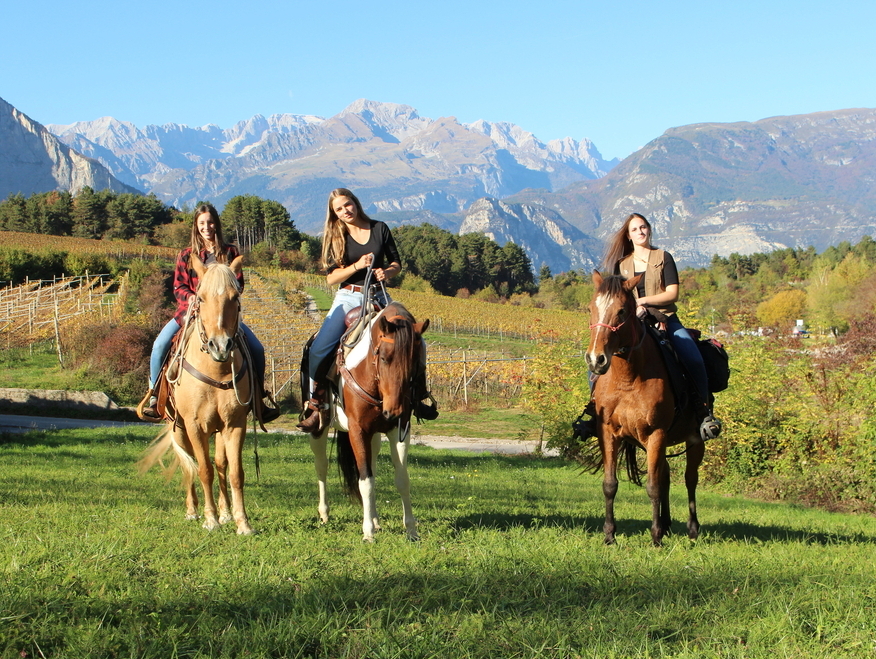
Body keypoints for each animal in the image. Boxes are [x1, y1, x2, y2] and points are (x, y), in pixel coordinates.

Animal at [137, 256, 253, 536]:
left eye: (235, 296)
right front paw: (210, 520)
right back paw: (192, 511)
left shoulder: (234, 425)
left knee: (220, 464)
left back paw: (225, 513)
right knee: (187, 463)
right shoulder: (194, 425)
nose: (220, 346)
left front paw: (241, 522)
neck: (215, 370)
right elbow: (203, 470)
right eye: (199, 298)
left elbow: (234, 472)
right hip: (178, 427)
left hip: (218, 430)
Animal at [310, 302, 430, 544]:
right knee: (322, 466)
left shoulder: (399, 430)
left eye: (415, 362)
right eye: (384, 357)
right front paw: (367, 533)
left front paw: (411, 530)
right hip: (319, 429)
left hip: (374, 435)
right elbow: (365, 481)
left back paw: (375, 519)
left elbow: (402, 479)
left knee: (372, 464)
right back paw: (325, 514)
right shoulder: (357, 430)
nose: (393, 411)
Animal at [580, 272, 704, 548]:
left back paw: (691, 529)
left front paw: (655, 537)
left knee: (690, 479)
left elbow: (653, 487)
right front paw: (609, 535)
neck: (628, 379)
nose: (596, 359)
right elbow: (610, 484)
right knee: (666, 475)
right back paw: (667, 524)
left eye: (622, 311)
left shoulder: (656, 434)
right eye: (591, 309)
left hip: (694, 439)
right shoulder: (608, 433)